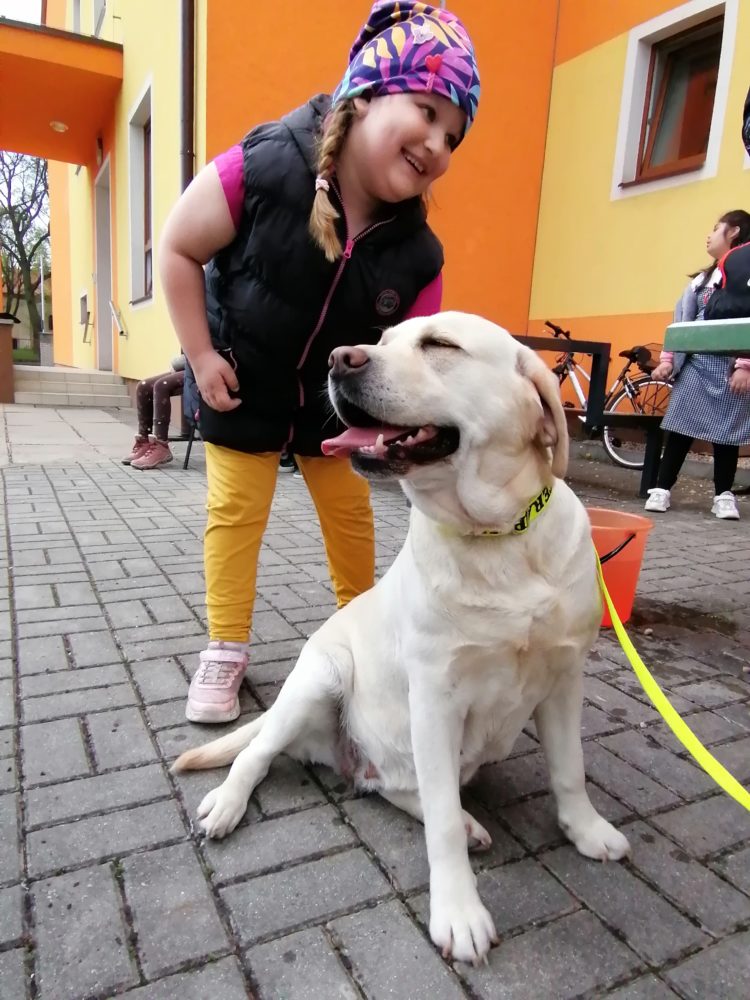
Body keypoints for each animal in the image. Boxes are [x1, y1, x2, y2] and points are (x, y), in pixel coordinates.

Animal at [173, 312, 630, 965]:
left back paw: (465, 821)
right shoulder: (436, 699)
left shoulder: (565, 678)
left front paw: (587, 831)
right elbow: (439, 823)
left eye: (440, 345)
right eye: (383, 340)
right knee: (257, 755)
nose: (338, 358)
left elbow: (570, 768)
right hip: (319, 678)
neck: (498, 538)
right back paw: (227, 803)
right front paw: (460, 914)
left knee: (394, 787)